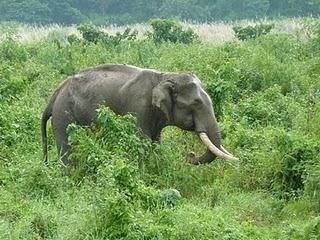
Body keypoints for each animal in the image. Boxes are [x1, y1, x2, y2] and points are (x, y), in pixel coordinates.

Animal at [40, 63, 238, 165]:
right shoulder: (138, 109)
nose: (190, 155)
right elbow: (141, 141)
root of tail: (55, 94)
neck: (163, 76)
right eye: (196, 103)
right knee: (67, 148)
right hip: (64, 115)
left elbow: (155, 143)